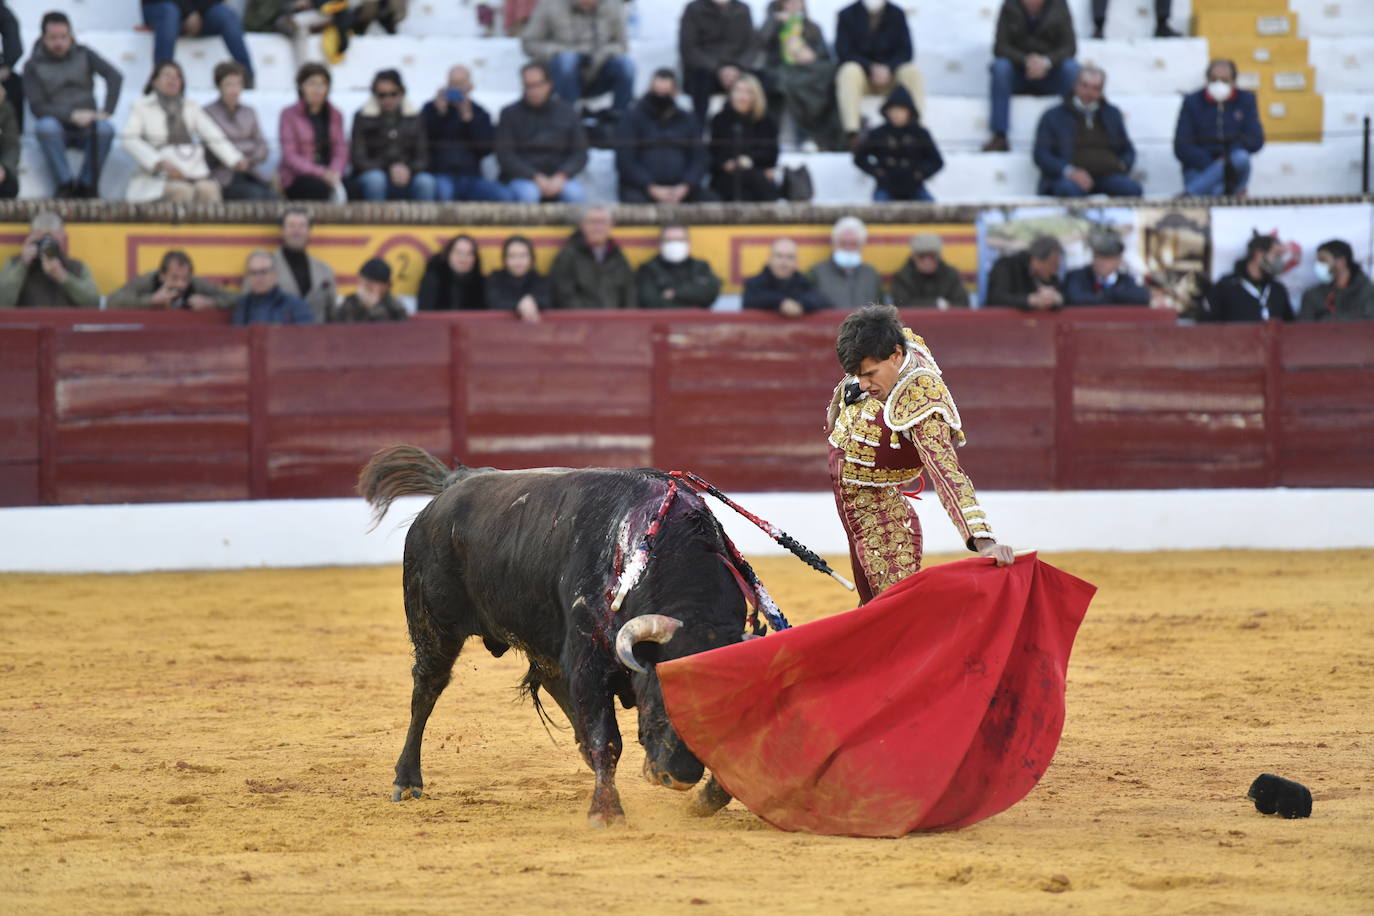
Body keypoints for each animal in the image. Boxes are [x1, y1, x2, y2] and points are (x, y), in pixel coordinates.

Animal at [354, 447, 752, 829]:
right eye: (659, 695)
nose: (679, 777)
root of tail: (455, 482)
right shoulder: (588, 663)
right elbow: (607, 738)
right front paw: (605, 812)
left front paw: (707, 800)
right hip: (434, 626)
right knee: (427, 688)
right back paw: (407, 781)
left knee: (548, 678)